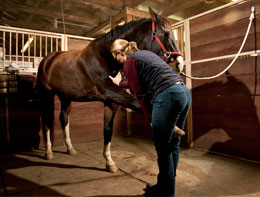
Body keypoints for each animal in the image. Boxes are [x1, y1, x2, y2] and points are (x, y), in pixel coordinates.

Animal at [35, 6, 184, 172]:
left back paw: (70, 148)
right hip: (47, 95)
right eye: (165, 33)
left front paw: (109, 162)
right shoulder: (110, 92)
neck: (105, 57)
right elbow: (137, 104)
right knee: (46, 120)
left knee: (63, 118)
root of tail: (48, 59)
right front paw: (174, 129)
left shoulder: (111, 100)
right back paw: (48, 152)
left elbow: (107, 129)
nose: (179, 64)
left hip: (66, 97)